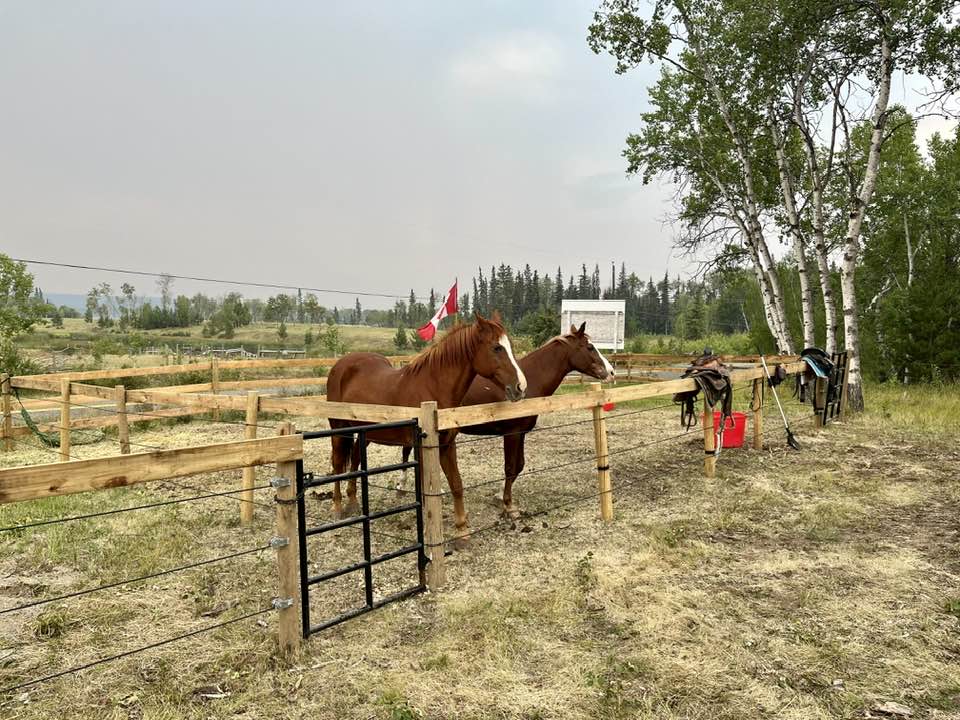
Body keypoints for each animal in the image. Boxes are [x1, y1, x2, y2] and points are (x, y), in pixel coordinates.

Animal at [325, 313, 526, 526]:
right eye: (497, 348)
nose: (521, 387)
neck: (432, 389)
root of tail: (340, 365)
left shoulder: (446, 445)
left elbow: (456, 484)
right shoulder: (423, 449)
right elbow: (424, 490)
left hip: (364, 432)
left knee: (355, 458)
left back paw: (353, 502)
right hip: (338, 429)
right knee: (338, 464)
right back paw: (337, 507)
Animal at [381, 322, 613, 536]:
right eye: (590, 347)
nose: (610, 372)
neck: (531, 379)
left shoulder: (520, 433)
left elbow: (519, 466)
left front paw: (501, 498)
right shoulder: (512, 433)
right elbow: (510, 468)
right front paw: (508, 506)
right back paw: (401, 487)